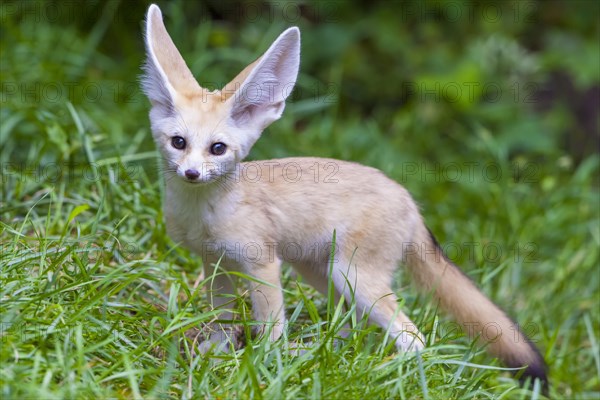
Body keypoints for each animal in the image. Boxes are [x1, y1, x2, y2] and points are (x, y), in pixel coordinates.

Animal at [143, 4, 548, 388]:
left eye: (218, 149)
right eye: (178, 143)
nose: (192, 174)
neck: (205, 216)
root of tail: (409, 199)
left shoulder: (262, 264)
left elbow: (271, 326)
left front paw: (265, 368)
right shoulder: (216, 264)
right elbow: (221, 321)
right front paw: (214, 356)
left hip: (353, 277)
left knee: (414, 338)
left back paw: (392, 373)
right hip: (322, 273)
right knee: (352, 324)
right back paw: (326, 354)